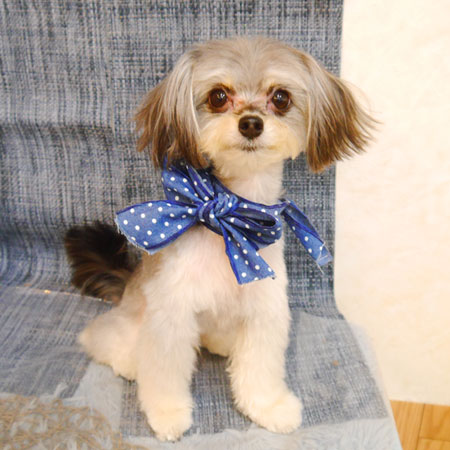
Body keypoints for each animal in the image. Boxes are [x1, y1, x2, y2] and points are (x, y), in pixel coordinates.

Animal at [65, 36, 373, 441]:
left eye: (281, 98)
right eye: (217, 96)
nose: (251, 123)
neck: (231, 218)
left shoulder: (264, 307)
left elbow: (260, 366)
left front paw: (268, 406)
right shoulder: (172, 311)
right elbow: (164, 370)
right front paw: (167, 413)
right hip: (134, 315)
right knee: (105, 339)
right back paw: (127, 360)